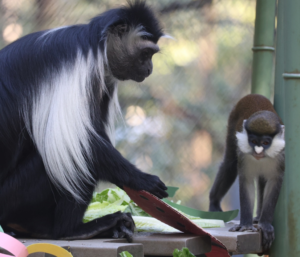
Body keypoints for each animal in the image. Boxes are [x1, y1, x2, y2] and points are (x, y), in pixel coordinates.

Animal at [0, 0, 169, 240]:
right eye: (146, 53)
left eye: (152, 55)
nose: (149, 69)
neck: (96, 46)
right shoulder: (77, 68)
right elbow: (80, 141)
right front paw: (142, 180)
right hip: (12, 195)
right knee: (72, 157)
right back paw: (73, 230)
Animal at [210, 93, 284, 251]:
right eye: (253, 141)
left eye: (265, 143)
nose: (258, 151)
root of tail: (255, 95)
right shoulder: (244, 157)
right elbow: (246, 182)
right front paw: (245, 225)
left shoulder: (280, 158)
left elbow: (273, 183)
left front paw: (265, 224)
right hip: (232, 124)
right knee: (230, 164)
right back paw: (214, 202)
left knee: (262, 180)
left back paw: (258, 218)